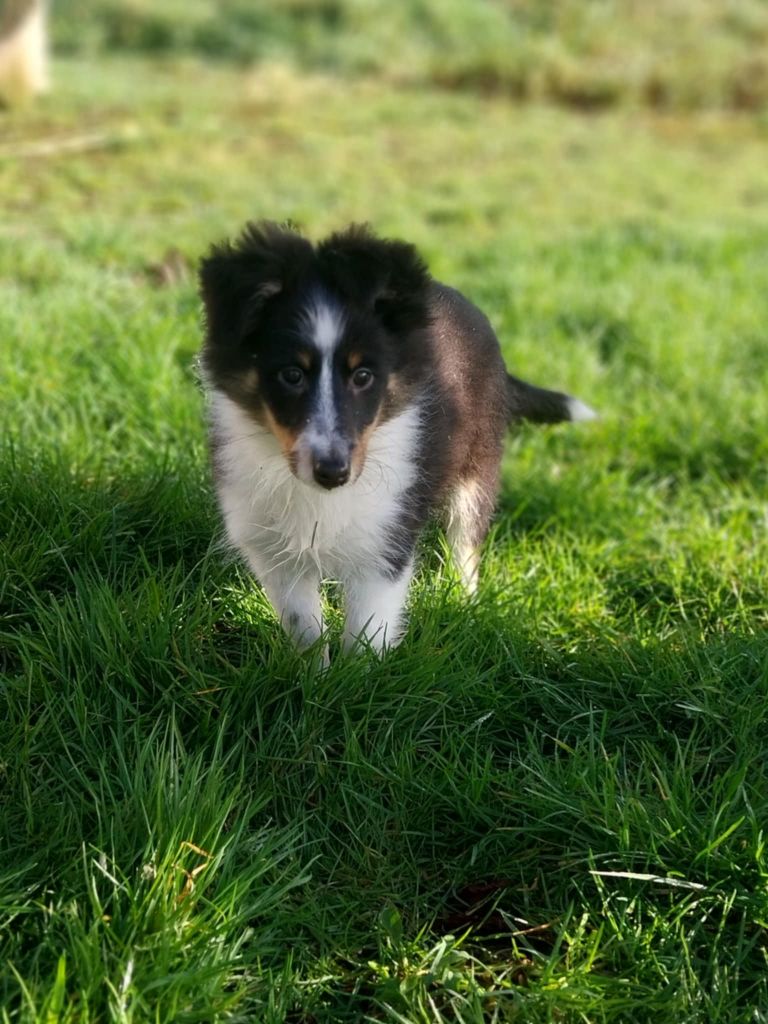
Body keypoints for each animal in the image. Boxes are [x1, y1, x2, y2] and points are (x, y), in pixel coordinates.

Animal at [198, 225, 593, 655]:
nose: (333, 473)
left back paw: (464, 605)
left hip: (478, 464)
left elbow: (367, 635)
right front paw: (314, 672)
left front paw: (360, 674)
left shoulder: (384, 541)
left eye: (363, 376)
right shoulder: (274, 551)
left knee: (466, 542)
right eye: (291, 375)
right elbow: (306, 631)